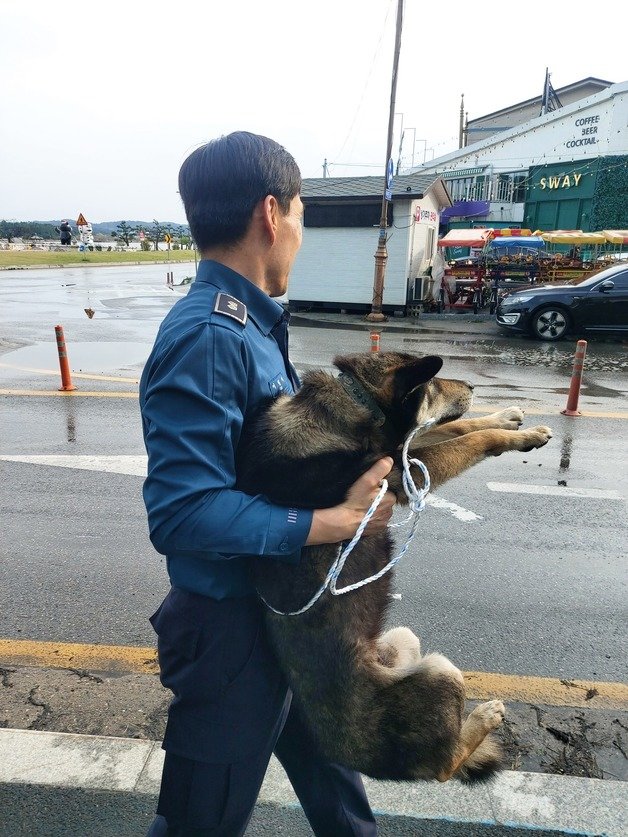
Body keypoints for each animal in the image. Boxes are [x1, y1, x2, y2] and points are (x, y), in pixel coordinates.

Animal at [238, 350, 552, 780]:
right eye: (433, 384)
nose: (473, 386)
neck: (357, 405)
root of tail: (354, 757)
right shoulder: (401, 473)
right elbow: (470, 438)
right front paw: (511, 436)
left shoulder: (402, 450)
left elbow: (459, 427)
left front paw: (506, 417)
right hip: (441, 674)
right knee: (447, 764)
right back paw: (483, 719)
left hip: (405, 639)